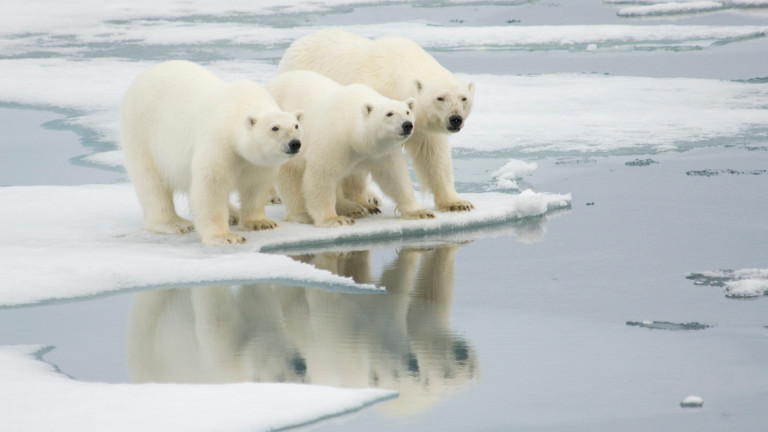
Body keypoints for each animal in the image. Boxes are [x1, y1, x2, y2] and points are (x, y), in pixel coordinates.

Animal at [121, 60, 304, 246]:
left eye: (296, 125)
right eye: (275, 128)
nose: (294, 144)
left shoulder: (257, 161)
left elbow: (256, 184)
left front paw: (261, 223)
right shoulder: (219, 142)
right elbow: (211, 185)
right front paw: (226, 236)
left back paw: (233, 213)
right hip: (141, 132)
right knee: (151, 181)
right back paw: (175, 223)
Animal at [264, 69, 432, 228]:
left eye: (407, 112)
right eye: (389, 114)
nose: (407, 125)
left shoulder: (382, 152)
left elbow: (394, 176)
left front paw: (419, 212)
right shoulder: (333, 140)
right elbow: (321, 176)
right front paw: (333, 219)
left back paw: (358, 207)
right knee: (290, 177)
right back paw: (302, 213)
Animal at [280, 27, 476, 213]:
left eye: (463, 98)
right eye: (440, 98)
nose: (455, 119)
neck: (393, 73)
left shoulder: (421, 126)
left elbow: (432, 156)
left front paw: (457, 203)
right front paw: (362, 203)